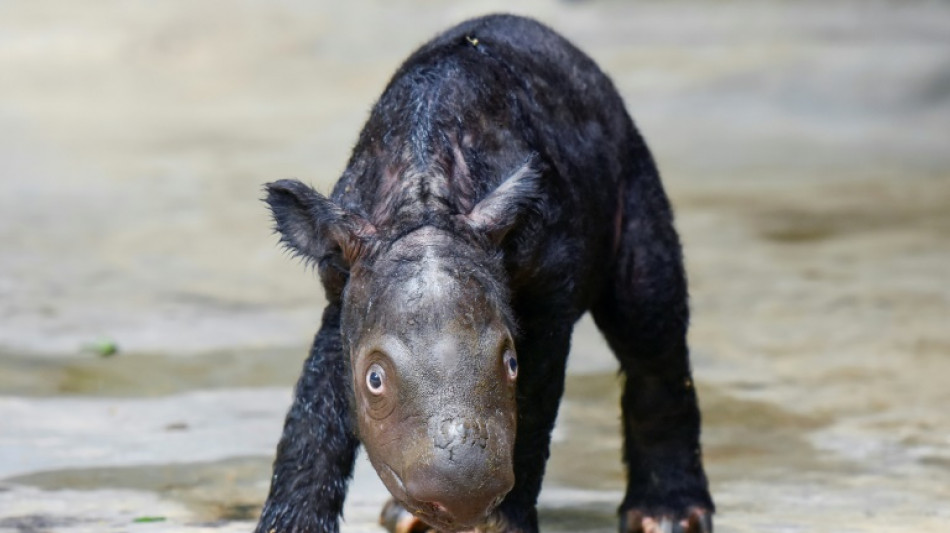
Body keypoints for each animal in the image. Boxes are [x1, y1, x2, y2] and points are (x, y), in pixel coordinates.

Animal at [253, 11, 712, 532]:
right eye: (374, 380)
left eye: (510, 362)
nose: (460, 502)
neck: (426, 200)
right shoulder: (344, 285)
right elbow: (313, 417)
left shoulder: (547, 292)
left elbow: (533, 412)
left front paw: (500, 524)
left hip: (633, 166)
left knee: (649, 324)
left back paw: (667, 516)